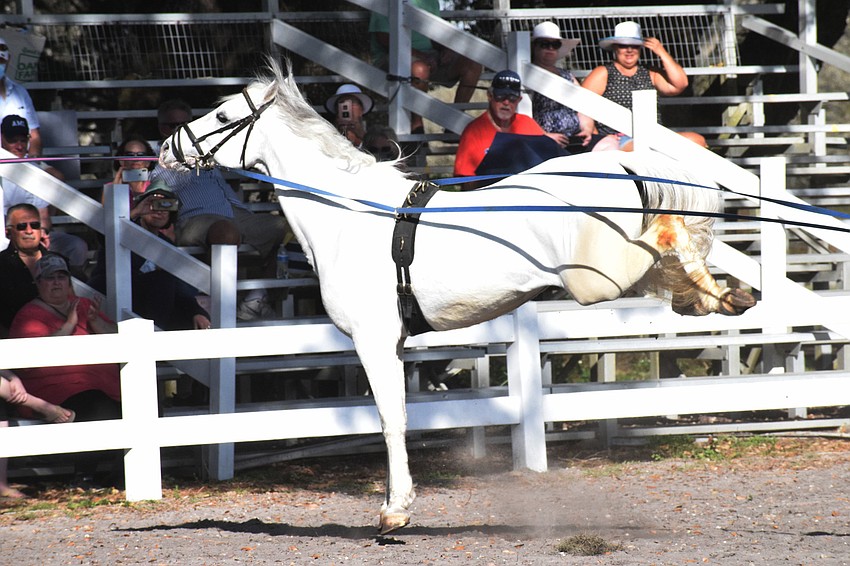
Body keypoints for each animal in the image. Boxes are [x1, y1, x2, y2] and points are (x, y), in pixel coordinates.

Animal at [159, 59, 755, 533]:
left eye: (220, 116)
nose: (166, 149)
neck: (350, 216)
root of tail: (620, 163)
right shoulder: (397, 342)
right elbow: (401, 416)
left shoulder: (375, 340)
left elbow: (390, 420)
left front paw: (394, 512)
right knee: (675, 267)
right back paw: (722, 297)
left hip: (598, 280)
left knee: (668, 242)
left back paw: (717, 292)